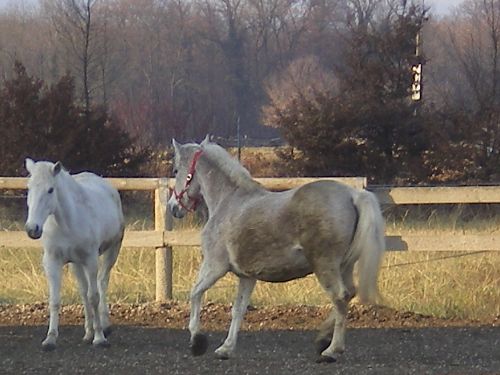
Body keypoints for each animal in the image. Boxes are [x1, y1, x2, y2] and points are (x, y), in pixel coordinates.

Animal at [24, 159, 125, 352]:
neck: (67, 223)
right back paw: (88, 333)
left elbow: (94, 297)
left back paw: (104, 326)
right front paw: (50, 339)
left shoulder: (91, 261)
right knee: (83, 292)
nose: (32, 229)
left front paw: (99, 338)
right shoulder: (52, 262)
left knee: (101, 283)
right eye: (29, 188)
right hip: (76, 264)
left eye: (50, 190)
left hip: (111, 252)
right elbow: (55, 300)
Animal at [169, 138, 386, 364]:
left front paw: (197, 341)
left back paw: (331, 350)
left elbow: (195, 294)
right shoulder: (247, 276)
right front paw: (226, 349)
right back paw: (322, 340)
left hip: (325, 265)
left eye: (175, 170)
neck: (228, 201)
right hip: (345, 265)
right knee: (349, 294)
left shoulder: (214, 266)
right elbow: (238, 310)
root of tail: (353, 195)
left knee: (340, 297)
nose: (174, 207)